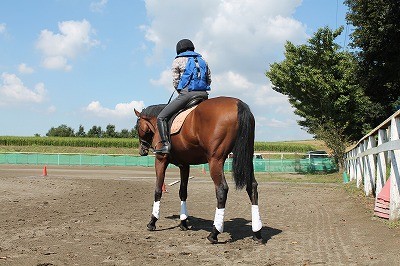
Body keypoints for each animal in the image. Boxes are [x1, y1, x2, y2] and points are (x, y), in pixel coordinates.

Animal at [134, 96, 264, 243]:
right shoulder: (184, 165)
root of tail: (238, 103)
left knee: (222, 189)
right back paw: (257, 232)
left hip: (215, 160)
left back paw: (214, 233)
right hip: (247, 157)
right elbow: (183, 192)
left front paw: (152, 222)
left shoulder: (161, 160)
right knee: (252, 186)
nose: (142, 150)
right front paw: (183, 222)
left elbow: (157, 190)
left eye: (137, 125)